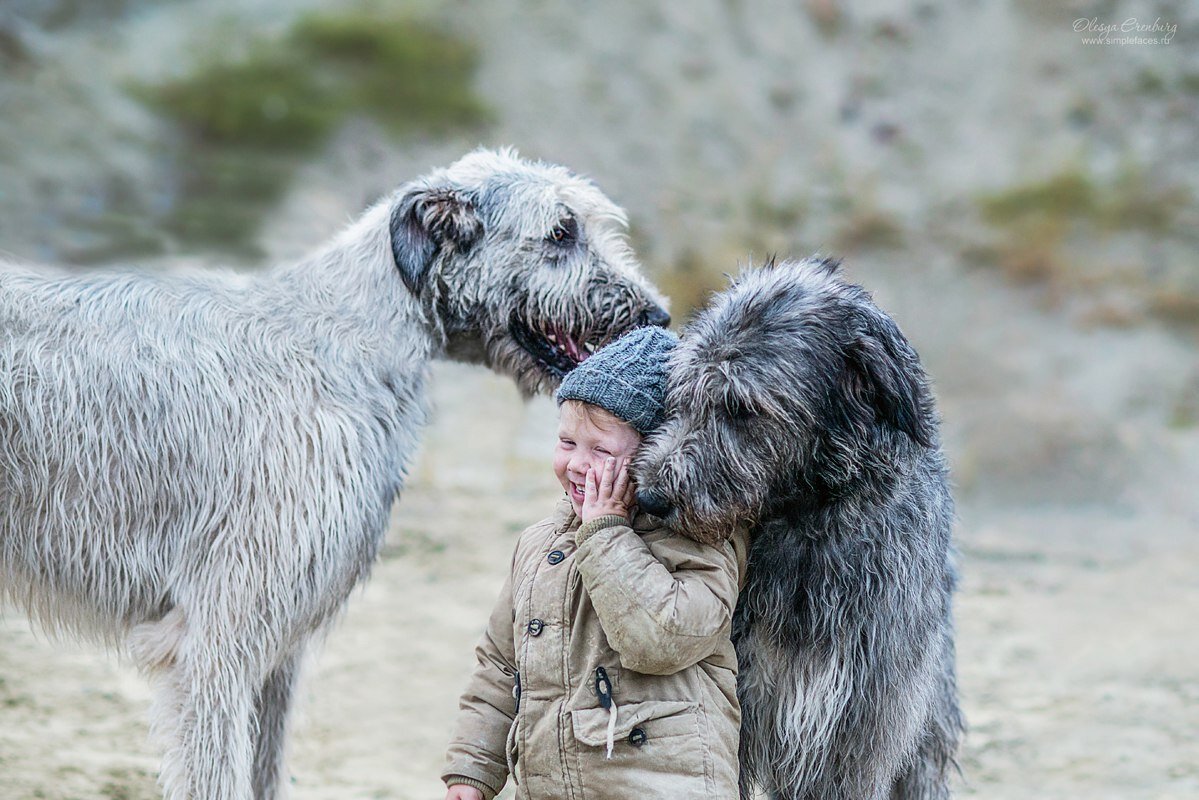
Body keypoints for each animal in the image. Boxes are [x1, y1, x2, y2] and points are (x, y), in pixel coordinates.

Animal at [0, 148, 671, 800]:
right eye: (561, 231)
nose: (658, 314)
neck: (352, 342)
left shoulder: (276, 653)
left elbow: (265, 769)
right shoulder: (217, 643)